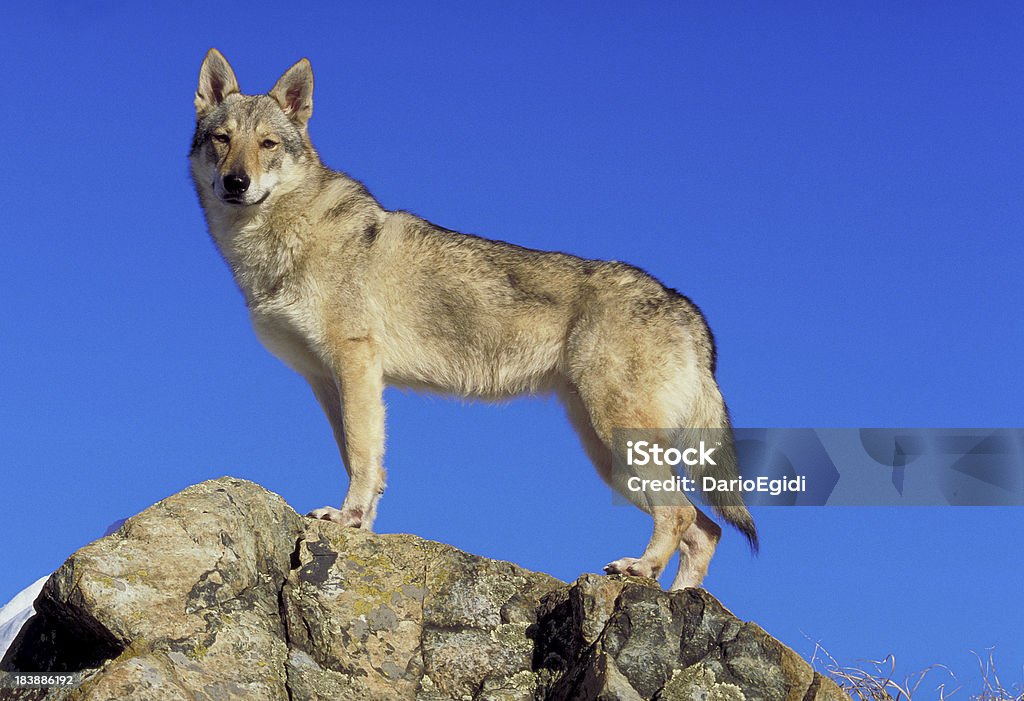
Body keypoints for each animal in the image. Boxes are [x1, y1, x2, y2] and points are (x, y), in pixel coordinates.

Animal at [190, 47, 761, 589]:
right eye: (222, 139)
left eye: (268, 144)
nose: (235, 182)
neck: (273, 247)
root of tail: (688, 309)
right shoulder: (329, 380)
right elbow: (367, 459)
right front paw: (364, 529)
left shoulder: (356, 364)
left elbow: (361, 453)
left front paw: (346, 519)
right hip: (610, 456)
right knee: (706, 529)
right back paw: (677, 596)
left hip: (619, 438)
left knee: (684, 514)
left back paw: (640, 570)